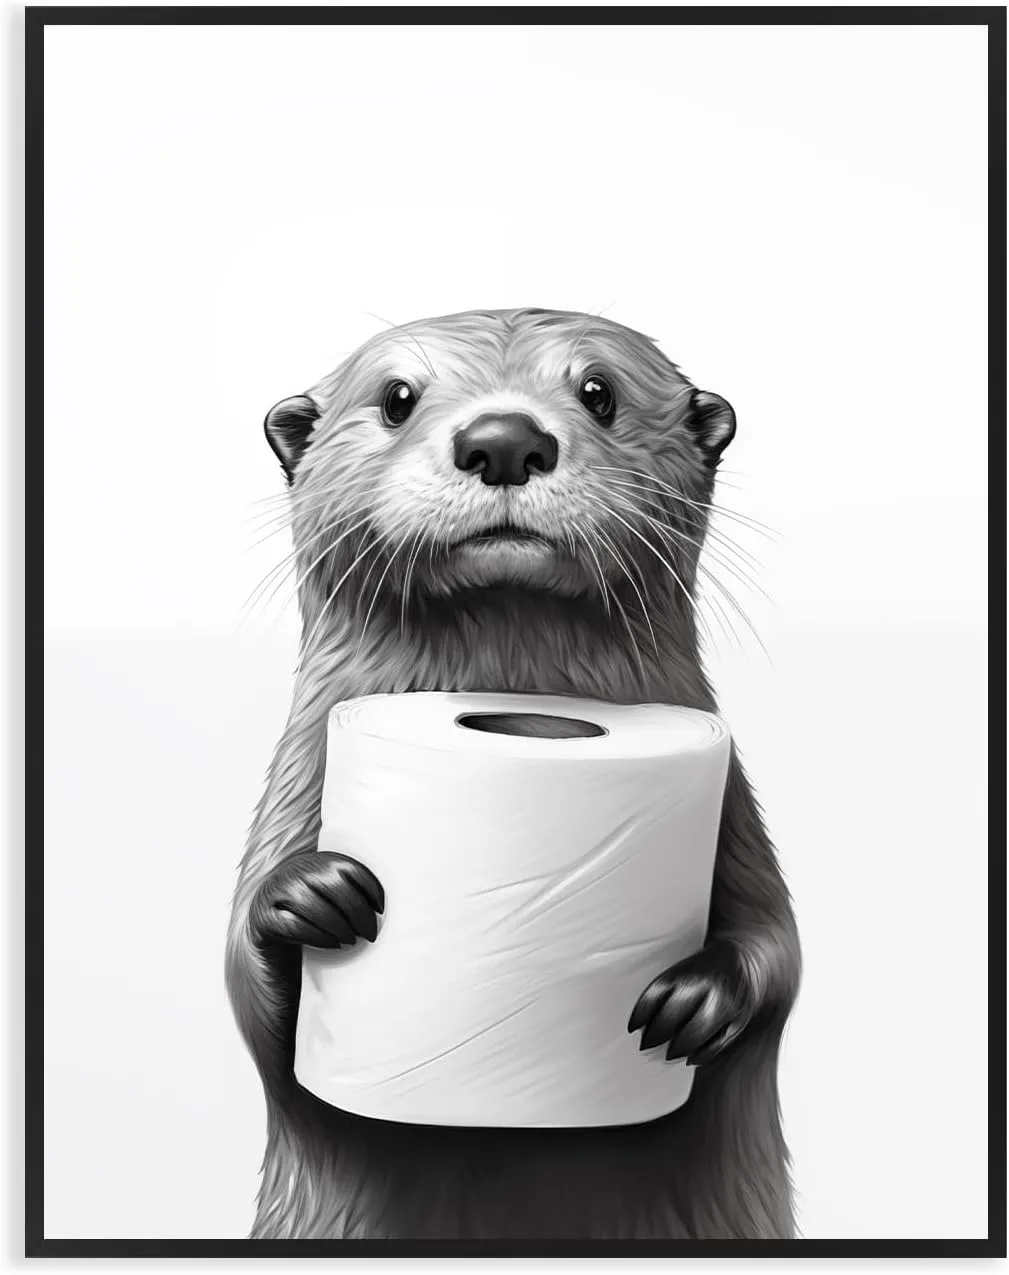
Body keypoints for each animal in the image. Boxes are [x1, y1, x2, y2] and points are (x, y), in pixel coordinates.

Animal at [225, 308, 801, 1241]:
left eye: (599, 391)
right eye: (397, 397)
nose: (502, 439)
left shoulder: (736, 817)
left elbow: (778, 949)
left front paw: (698, 998)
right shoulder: (292, 789)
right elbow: (249, 998)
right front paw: (307, 894)